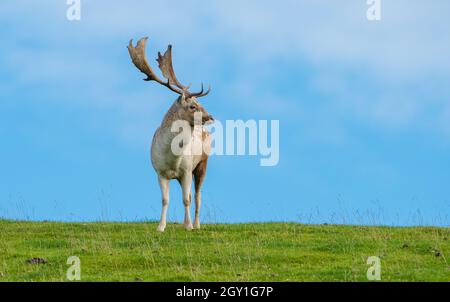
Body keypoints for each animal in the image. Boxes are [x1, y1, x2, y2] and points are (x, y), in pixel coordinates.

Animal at [127, 37, 214, 231]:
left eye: (200, 103)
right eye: (193, 106)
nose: (211, 117)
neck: (171, 157)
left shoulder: (187, 170)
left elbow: (186, 199)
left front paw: (188, 227)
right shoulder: (160, 172)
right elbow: (165, 200)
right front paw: (161, 227)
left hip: (202, 164)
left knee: (197, 195)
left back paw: (197, 224)